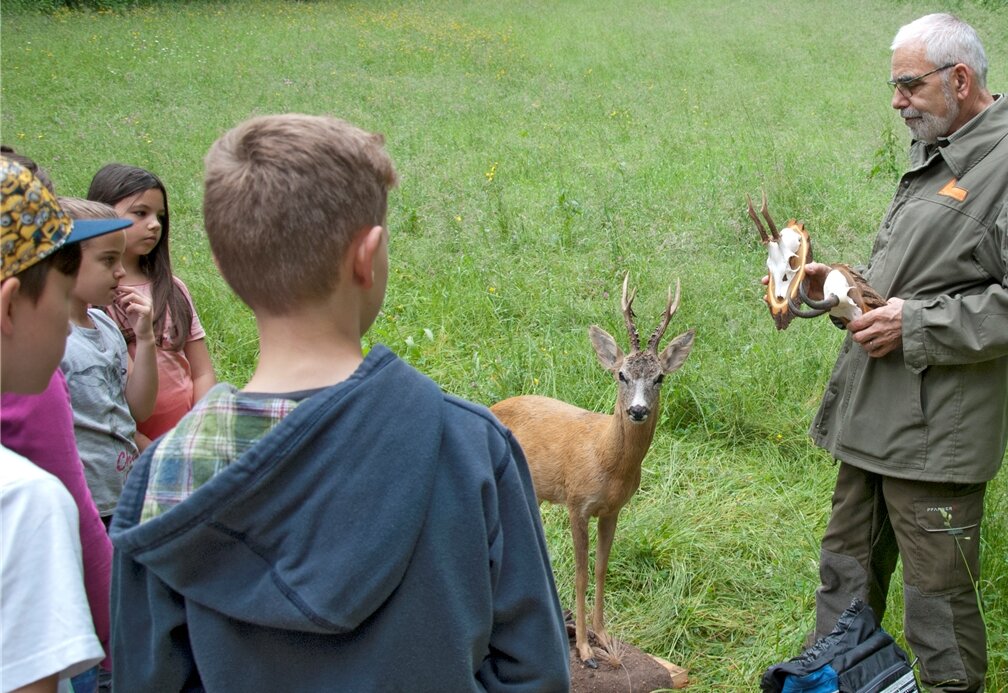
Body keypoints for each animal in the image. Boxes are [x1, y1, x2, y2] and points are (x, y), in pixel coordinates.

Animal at [491, 273, 697, 664]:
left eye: (659, 377)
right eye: (621, 374)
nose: (637, 410)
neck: (606, 459)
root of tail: (493, 405)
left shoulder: (613, 510)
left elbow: (602, 568)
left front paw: (601, 635)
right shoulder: (577, 503)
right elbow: (582, 573)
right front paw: (585, 650)